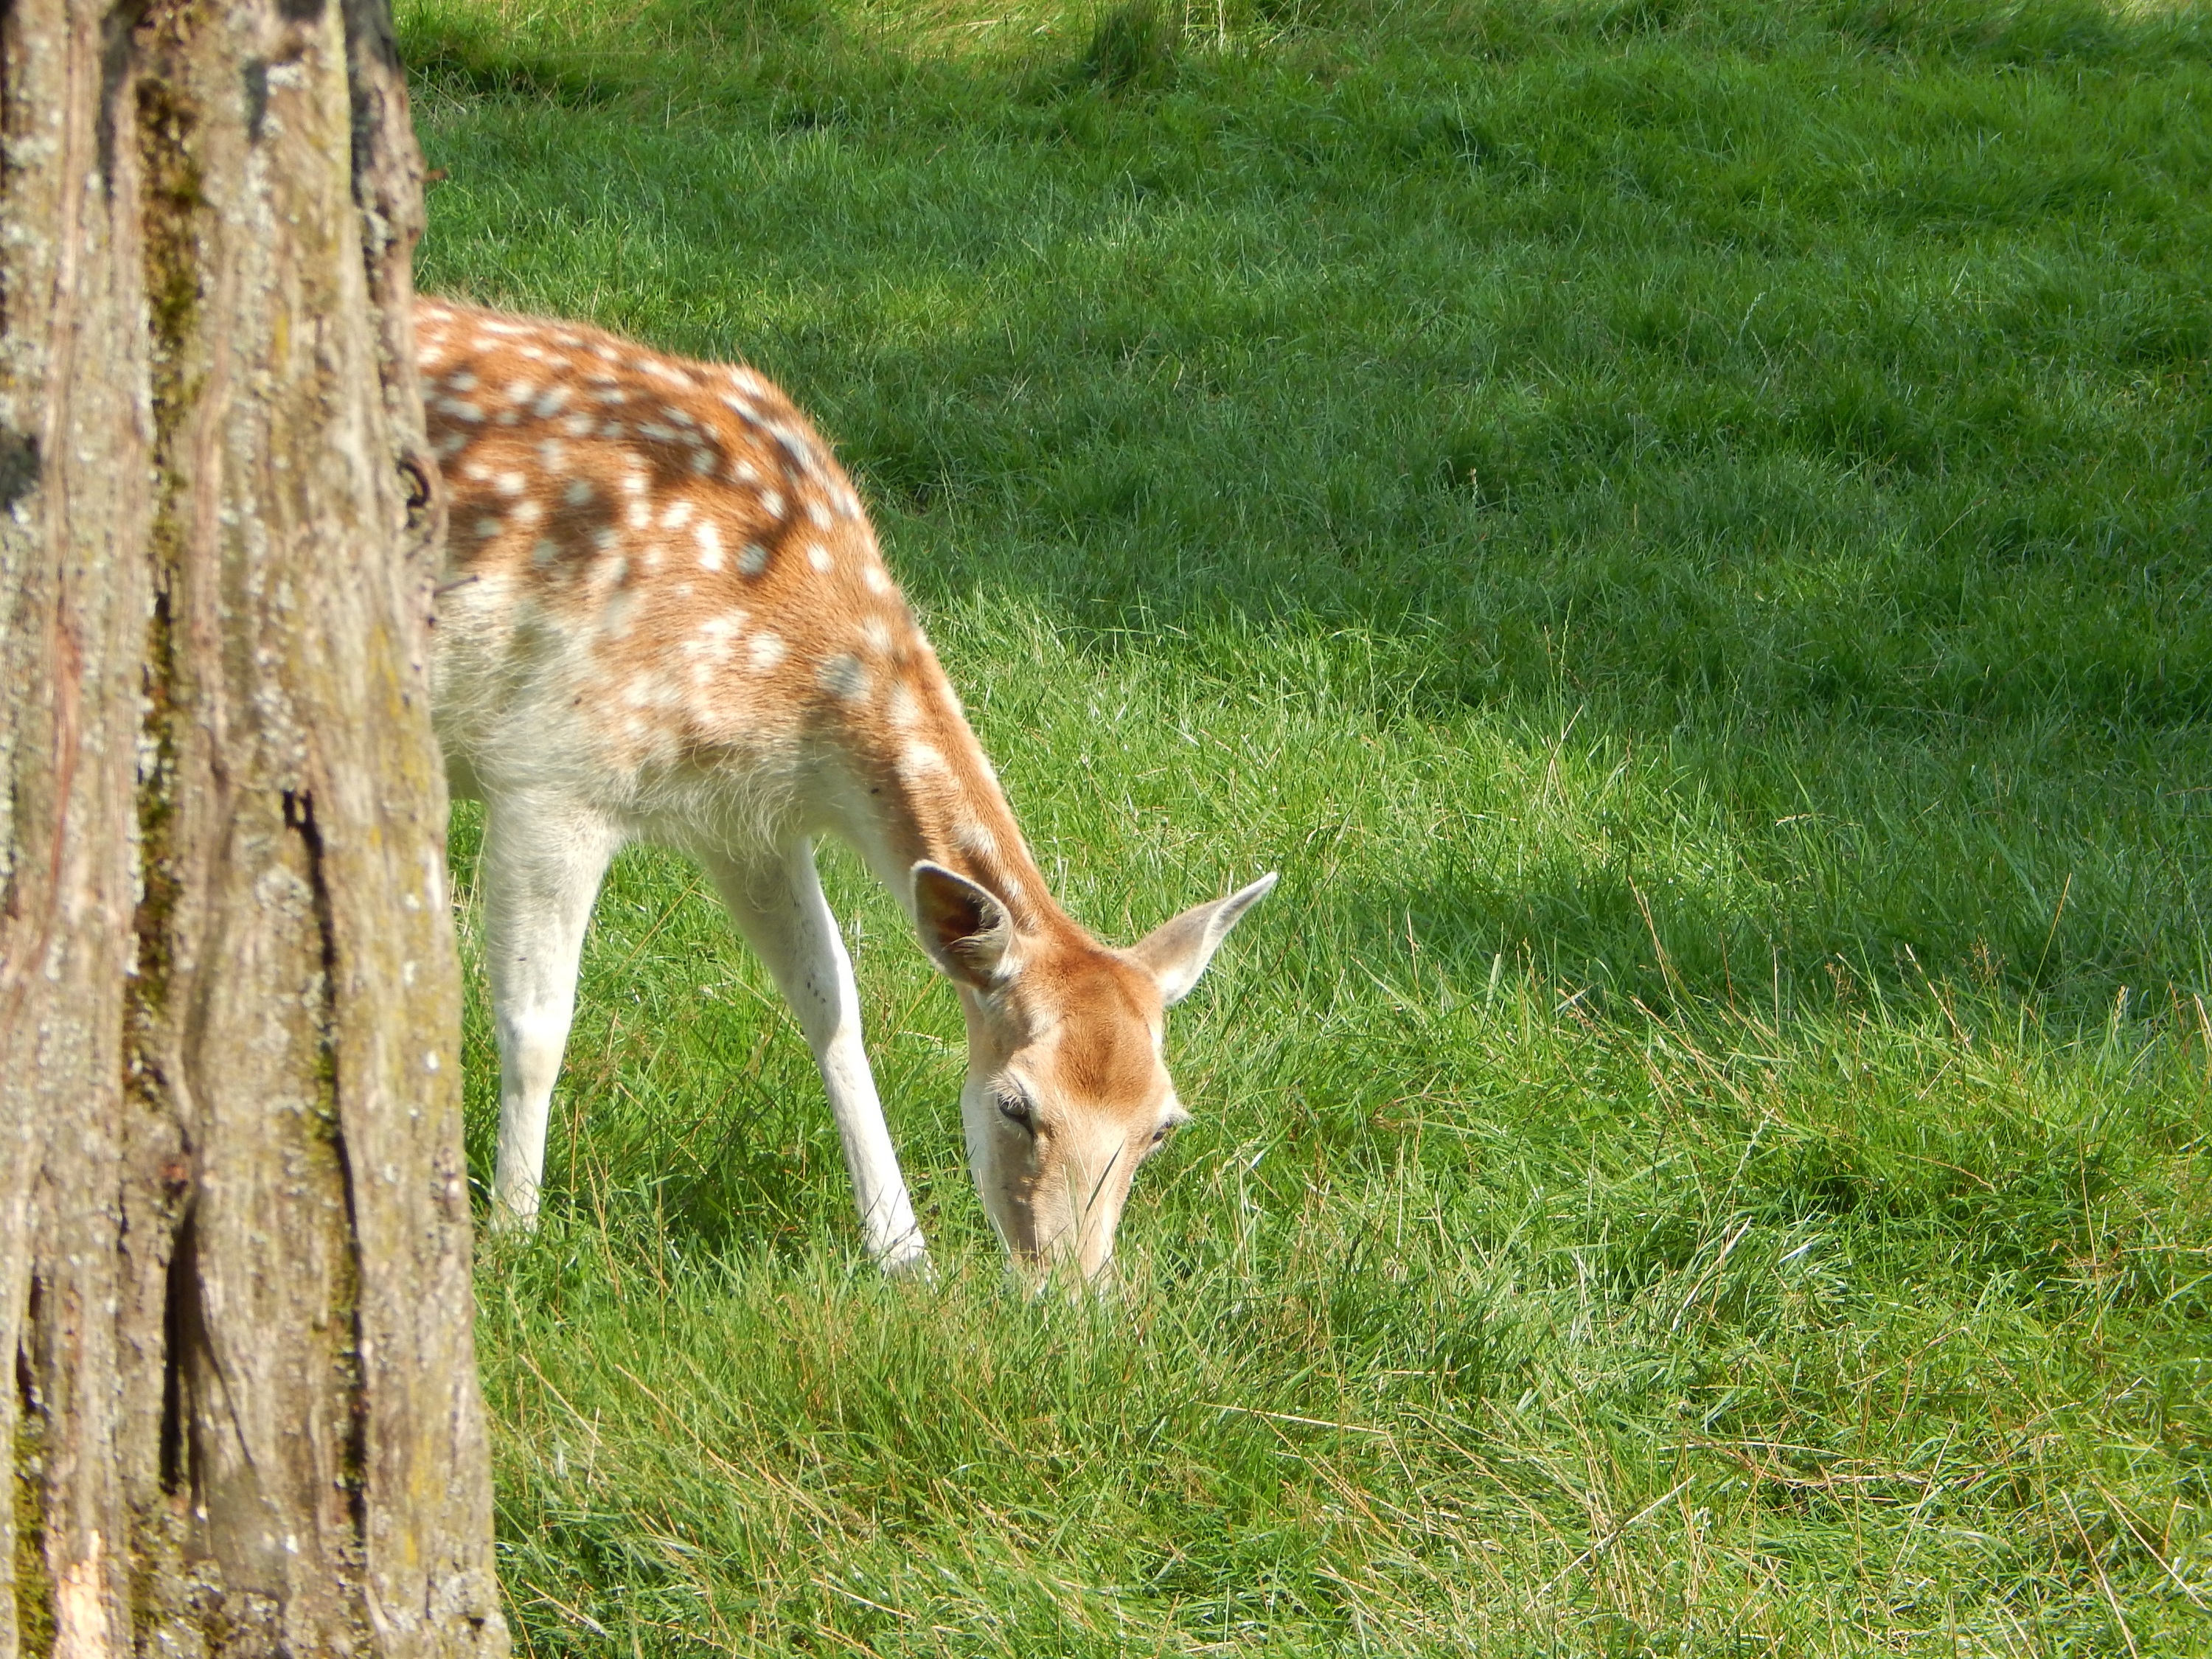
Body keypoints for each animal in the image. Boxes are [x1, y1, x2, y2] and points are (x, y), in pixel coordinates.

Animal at [417, 297, 1275, 1283]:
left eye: (1163, 1126)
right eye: (1015, 1105)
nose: (1069, 1292)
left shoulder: (747, 822)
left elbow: (832, 1002)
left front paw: (903, 1253)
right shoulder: (551, 773)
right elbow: (535, 1025)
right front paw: (511, 1239)